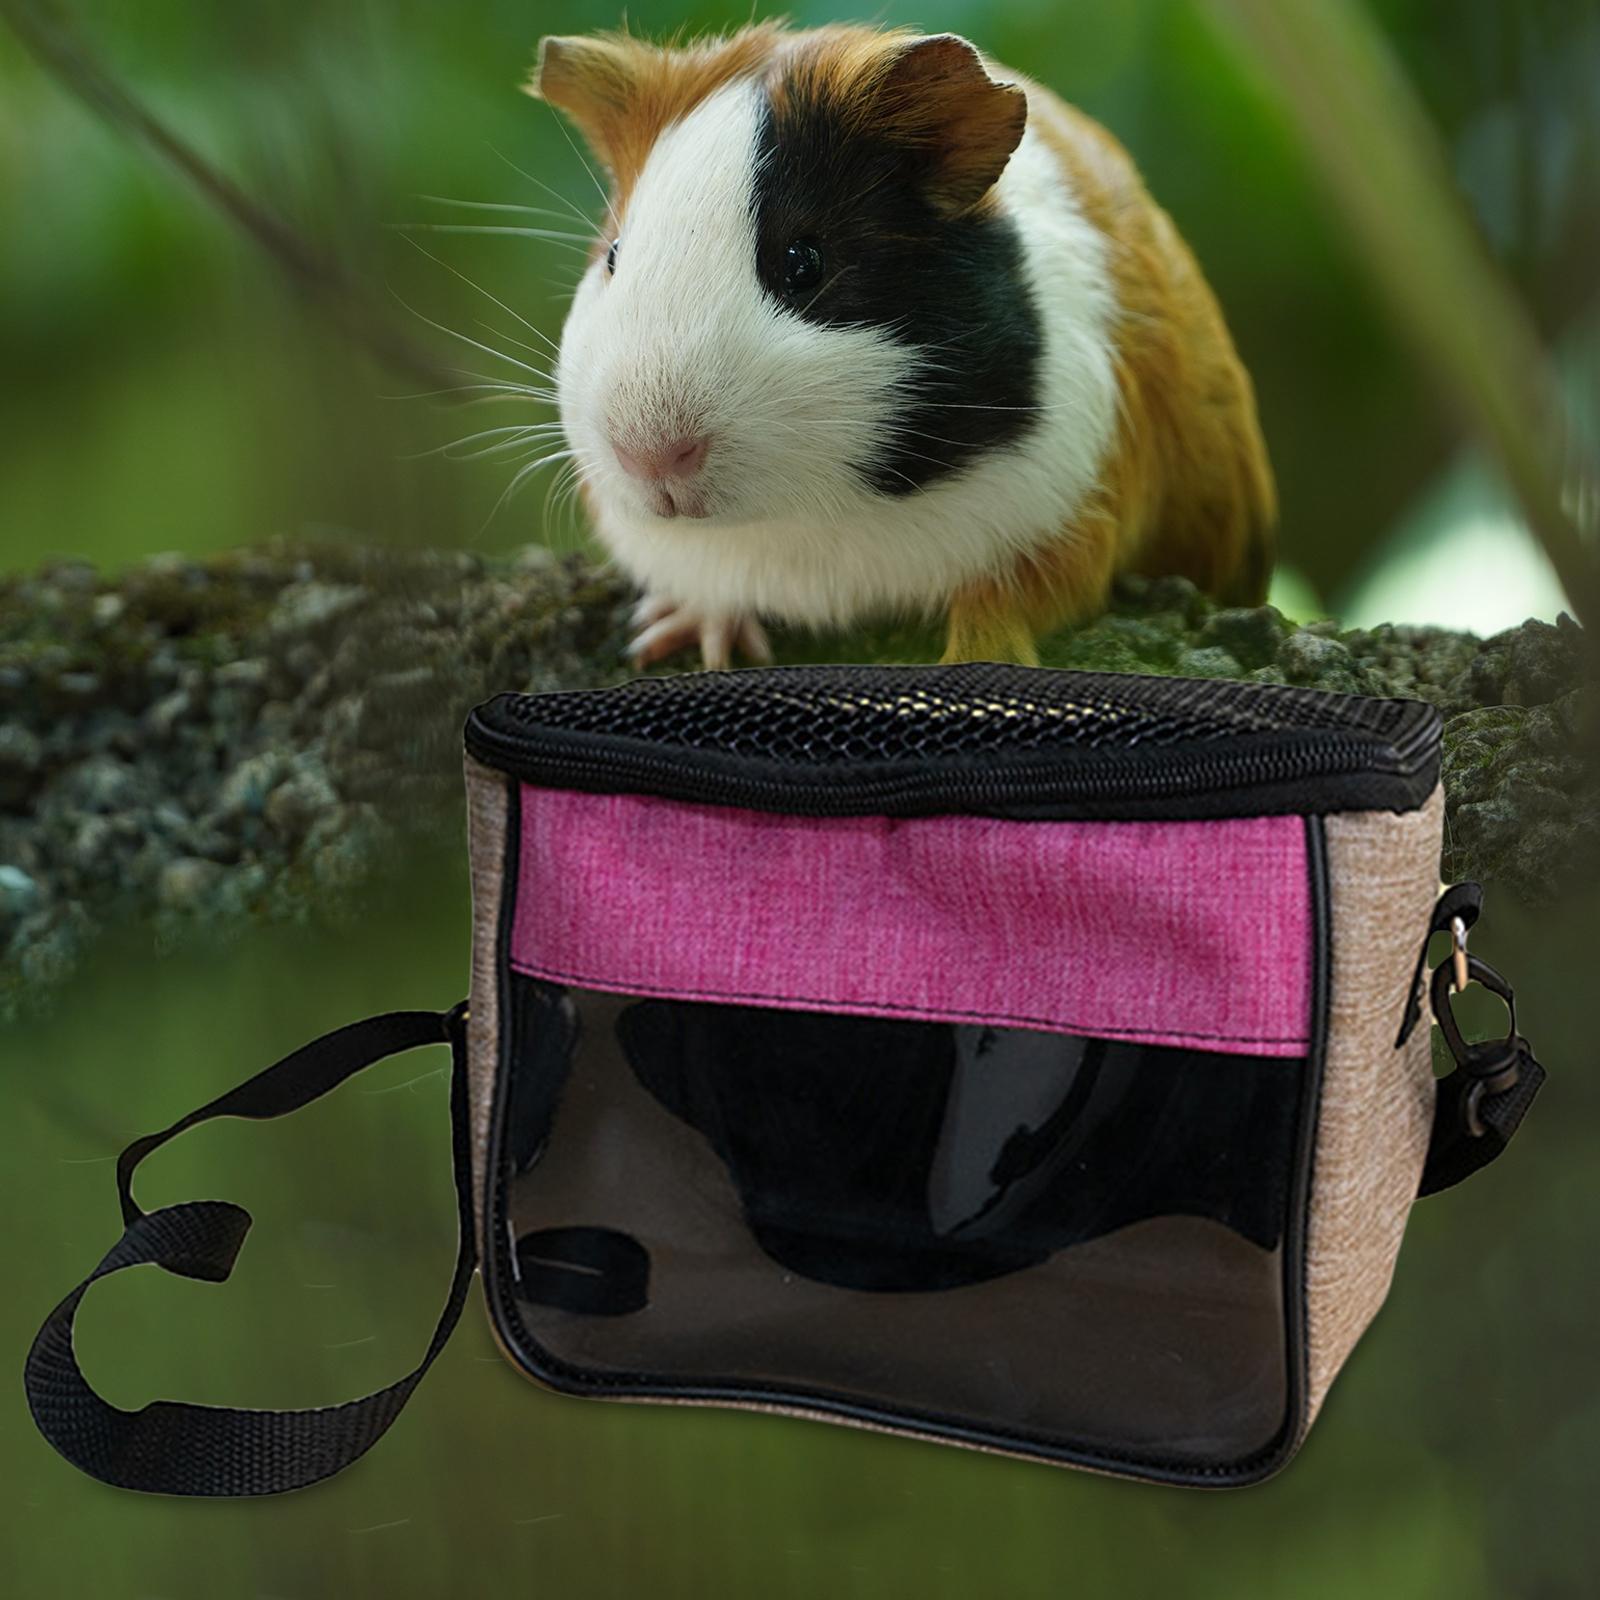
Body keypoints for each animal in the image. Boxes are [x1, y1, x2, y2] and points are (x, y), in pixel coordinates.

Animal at [533, 22, 1275, 667]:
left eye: (803, 263)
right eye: (614, 255)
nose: (650, 456)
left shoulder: (1070, 514)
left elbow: (1005, 599)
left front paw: (977, 658)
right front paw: (680, 636)